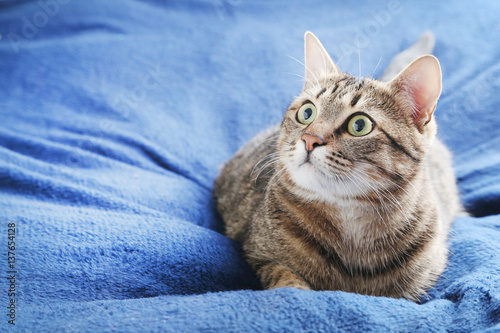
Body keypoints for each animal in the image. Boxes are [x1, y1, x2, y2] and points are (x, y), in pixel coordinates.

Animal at [213, 31, 462, 300]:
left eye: (359, 125)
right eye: (307, 112)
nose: (309, 139)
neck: (349, 216)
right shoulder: (259, 255)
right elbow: (284, 276)